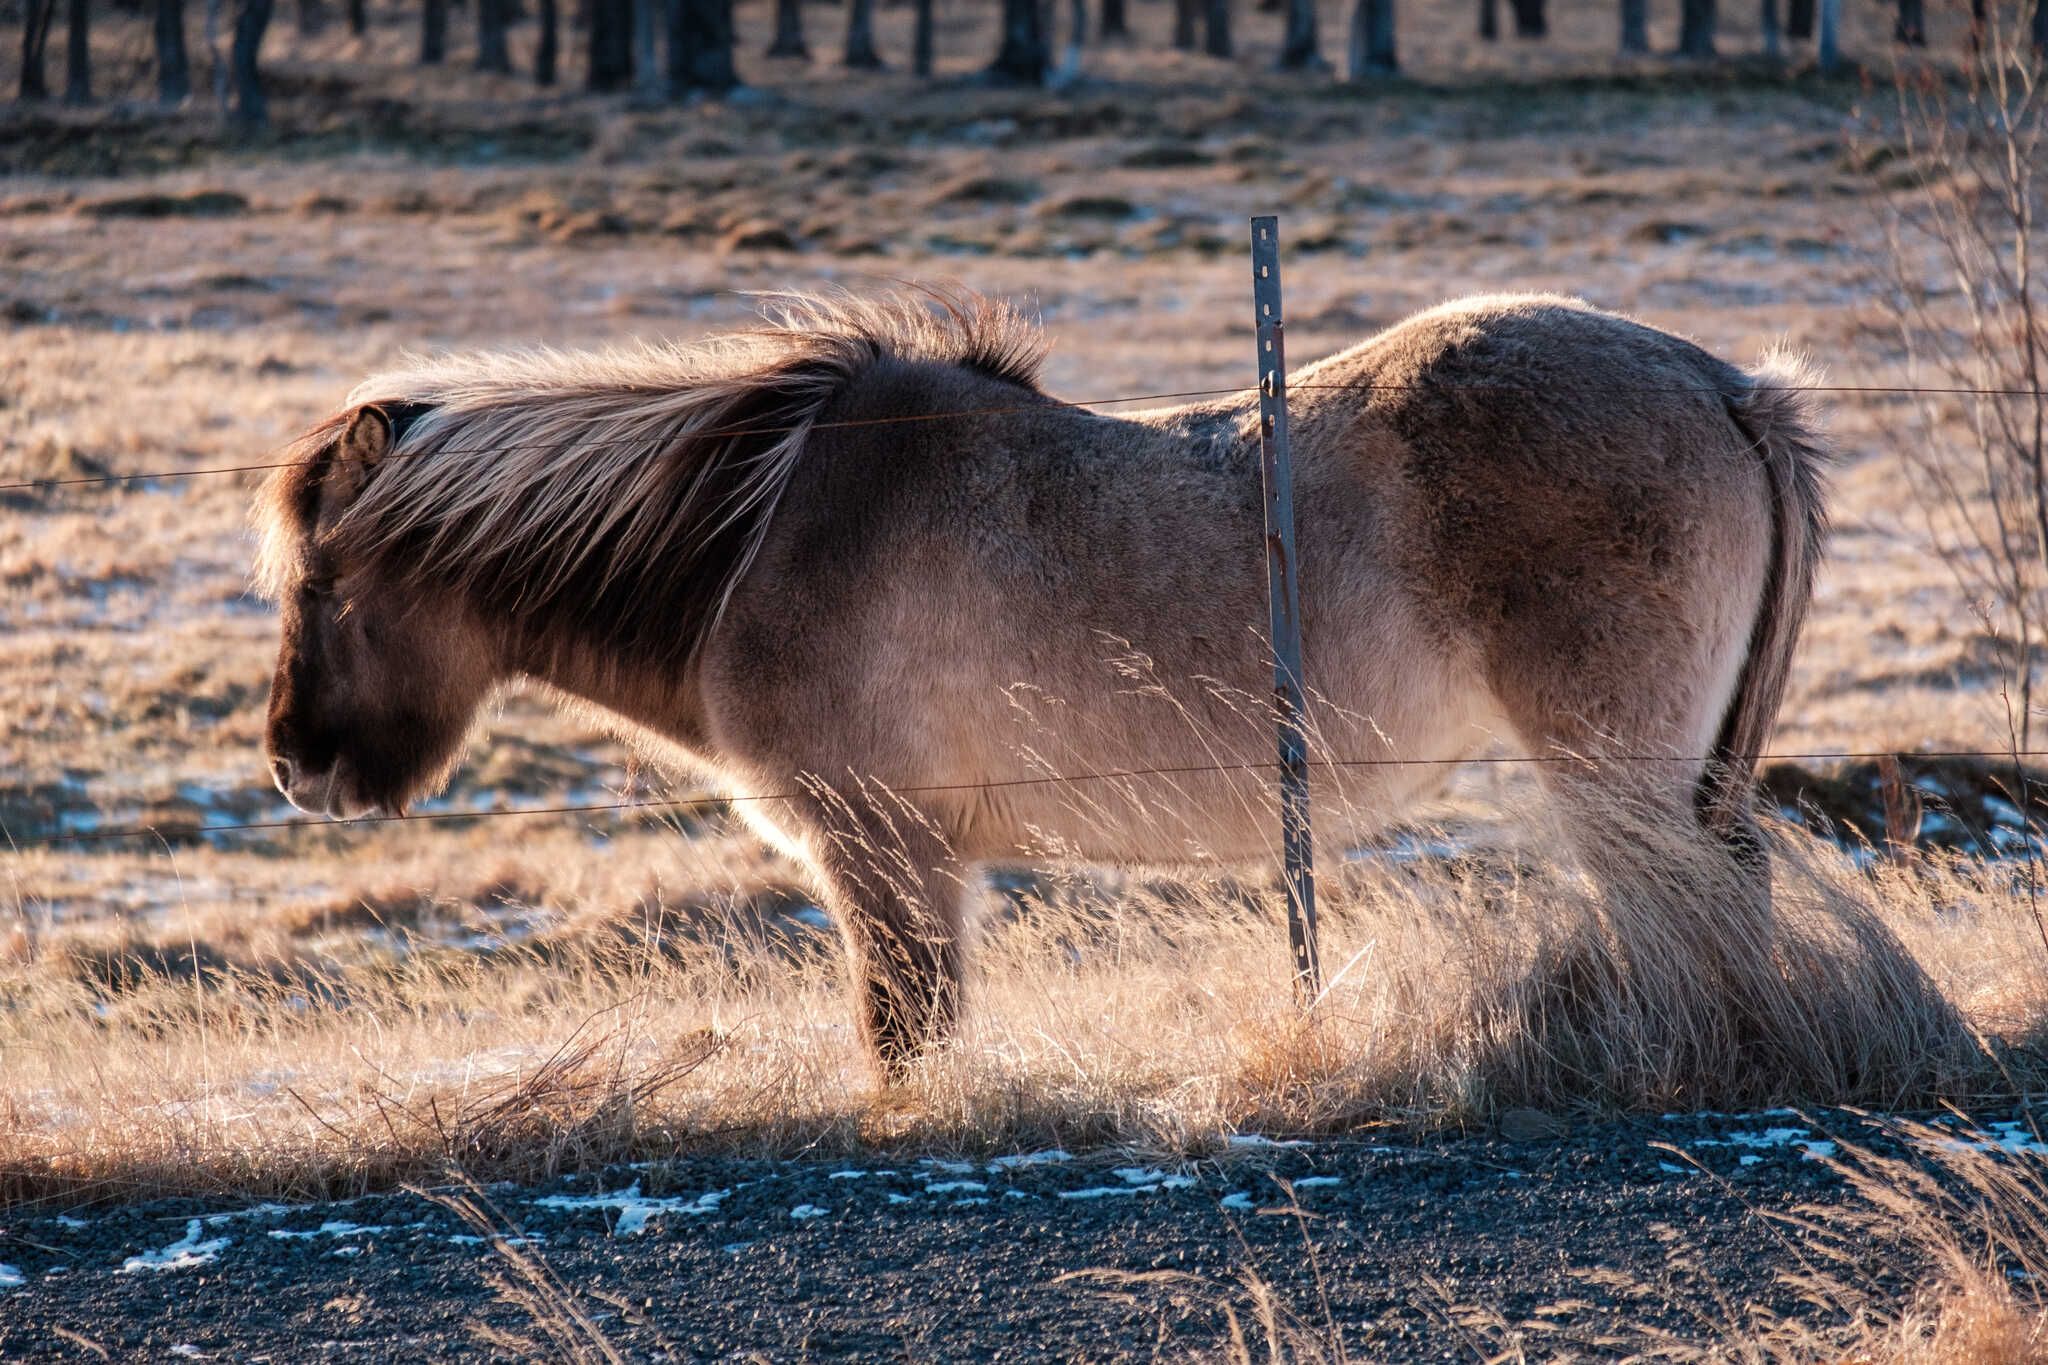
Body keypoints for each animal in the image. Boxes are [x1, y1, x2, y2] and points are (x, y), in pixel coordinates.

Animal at [247, 288, 1835, 1080]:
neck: (763, 528)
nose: (293, 766)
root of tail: (1725, 387)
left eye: (317, 586)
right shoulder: (921, 861)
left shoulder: (882, 855)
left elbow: (904, 1037)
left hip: (1616, 777)